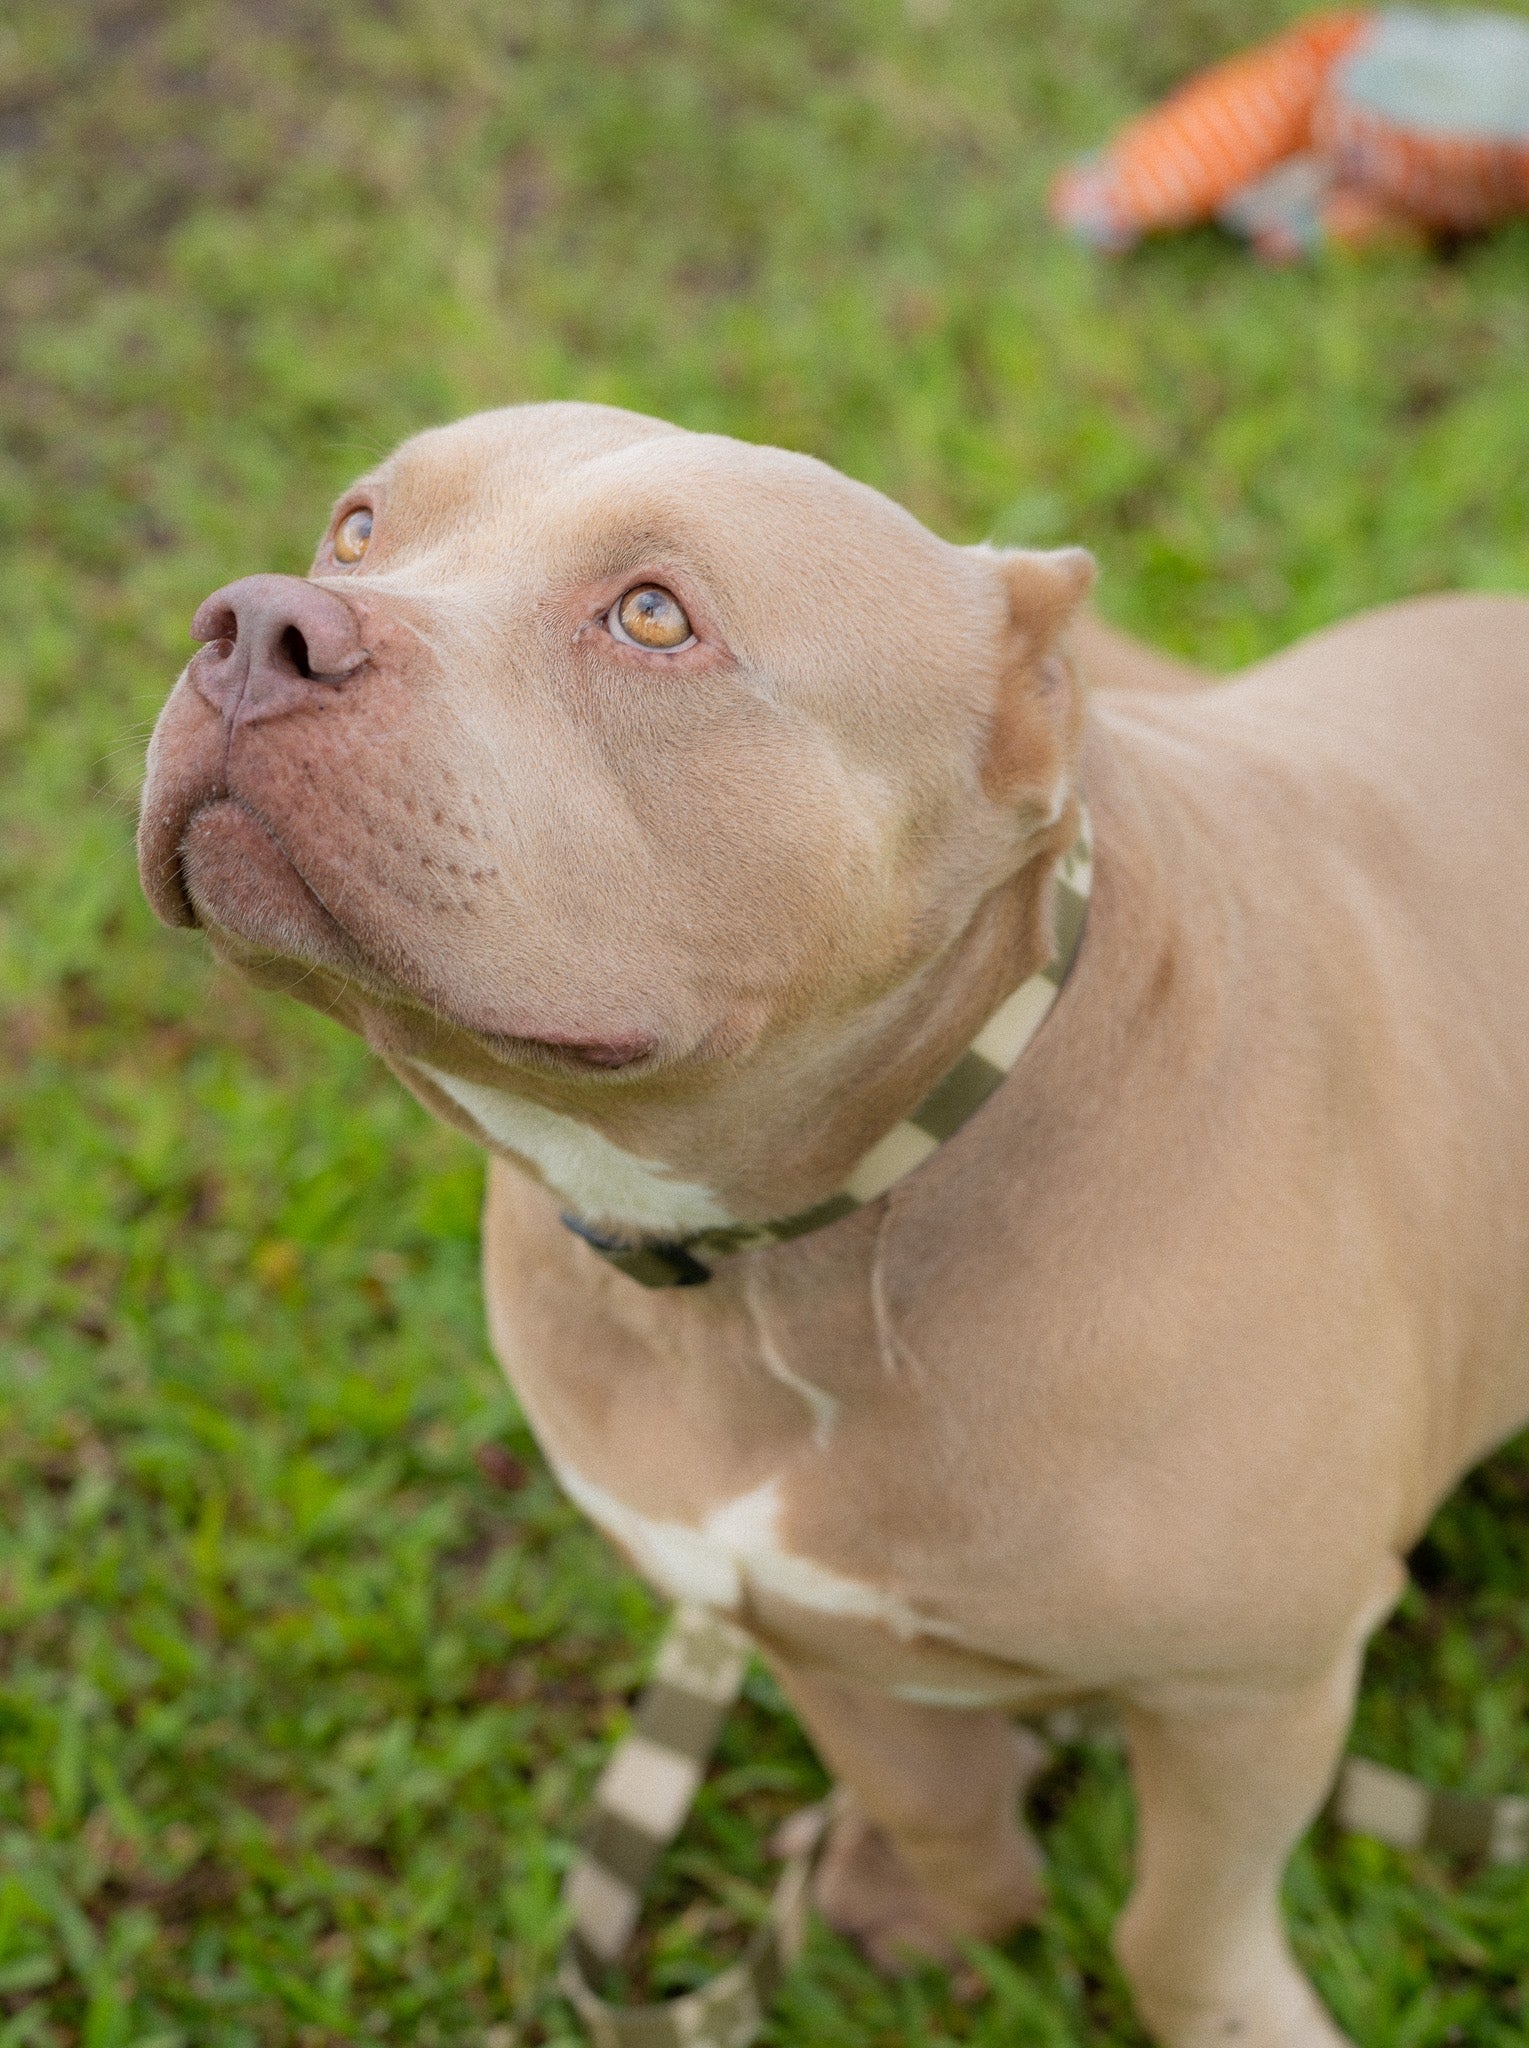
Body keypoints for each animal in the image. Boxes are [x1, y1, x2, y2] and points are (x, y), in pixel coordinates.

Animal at [134, 403, 1529, 2048]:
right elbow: (931, 1803)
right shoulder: (789, 1617)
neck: (780, 1259)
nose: (257, 624)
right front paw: (939, 1901)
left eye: (653, 616)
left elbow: (1177, 1927)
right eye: (357, 528)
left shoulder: (1251, 1688)